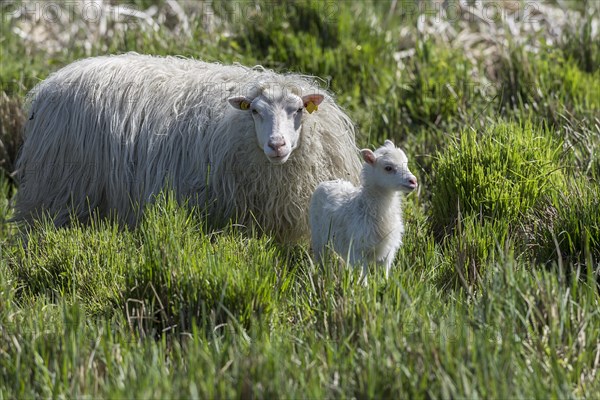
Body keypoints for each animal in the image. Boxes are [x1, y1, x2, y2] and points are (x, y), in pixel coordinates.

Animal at [310, 141, 418, 282]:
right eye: (388, 168)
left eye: (406, 163)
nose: (413, 181)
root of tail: (328, 182)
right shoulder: (359, 252)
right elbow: (363, 277)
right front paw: (364, 287)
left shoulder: (388, 252)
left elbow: (384, 275)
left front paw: (385, 285)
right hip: (318, 239)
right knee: (321, 261)